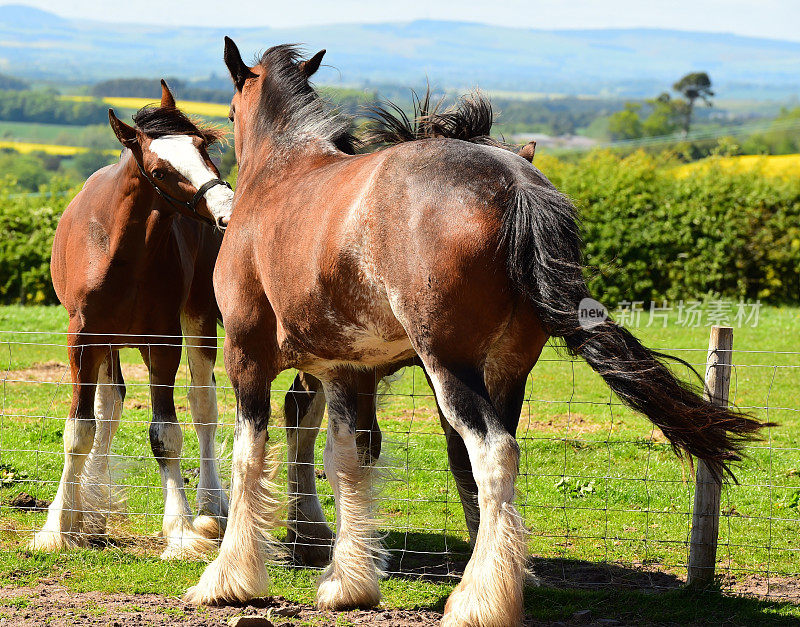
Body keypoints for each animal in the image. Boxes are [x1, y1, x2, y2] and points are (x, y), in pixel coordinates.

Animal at [32, 82, 236, 560]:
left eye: (202, 147)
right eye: (159, 170)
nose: (225, 209)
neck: (118, 248)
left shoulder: (162, 341)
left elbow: (167, 433)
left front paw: (180, 530)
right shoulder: (83, 337)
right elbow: (80, 429)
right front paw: (59, 524)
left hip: (198, 317)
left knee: (204, 405)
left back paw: (209, 509)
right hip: (108, 340)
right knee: (109, 405)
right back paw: (91, 507)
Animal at [186, 40, 764, 627]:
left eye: (229, 113)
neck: (282, 173)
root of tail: (517, 184)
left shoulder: (246, 355)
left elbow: (248, 454)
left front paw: (228, 578)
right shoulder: (349, 369)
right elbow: (347, 459)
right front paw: (348, 584)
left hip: (449, 367)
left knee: (492, 453)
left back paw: (478, 600)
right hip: (506, 372)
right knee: (492, 459)